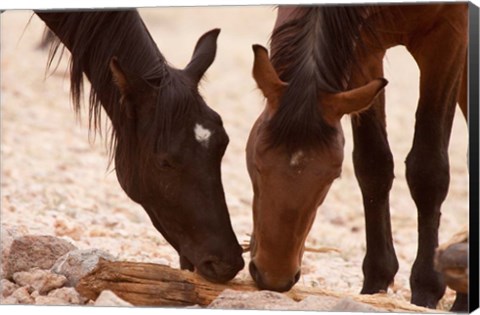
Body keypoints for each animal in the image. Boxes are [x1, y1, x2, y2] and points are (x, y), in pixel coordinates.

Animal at [249, 3, 466, 312]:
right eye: (256, 163)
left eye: (332, 177)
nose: (273, 276)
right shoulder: (364, 48)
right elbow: (373, 164)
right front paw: (376, 282)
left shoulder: (448, 35)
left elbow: (428, 170)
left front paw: (426, 289)